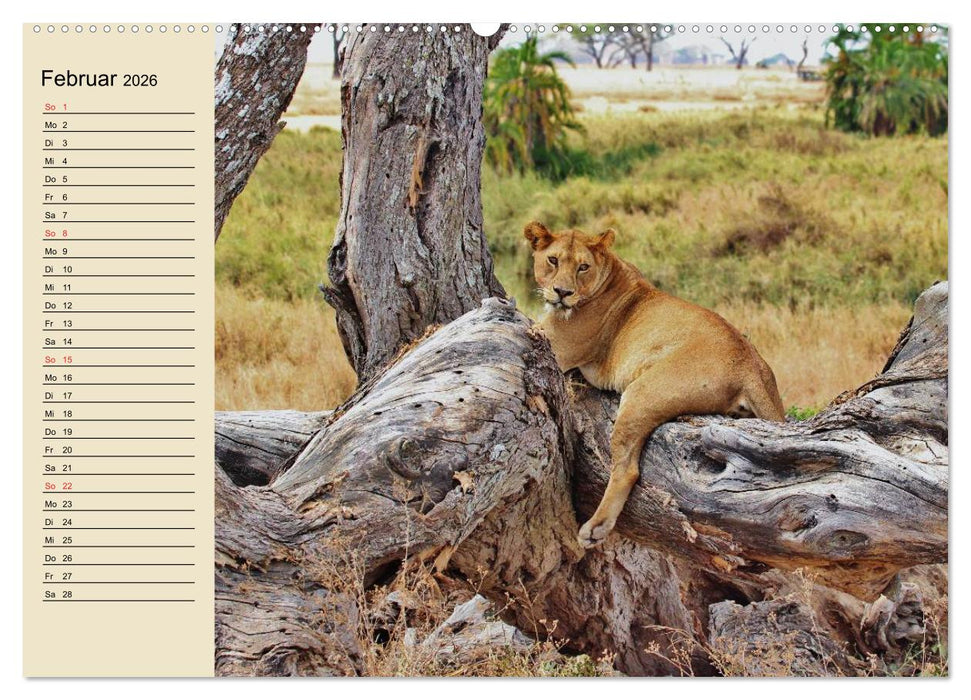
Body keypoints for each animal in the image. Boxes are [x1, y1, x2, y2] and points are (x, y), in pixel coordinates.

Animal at [524, 221, 785, 549]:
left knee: (627, 469)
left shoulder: (556, 346)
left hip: (641, 393)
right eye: (553, 260)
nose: (562, 292)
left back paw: (596, 528)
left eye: (583, 267)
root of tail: (750, 363)